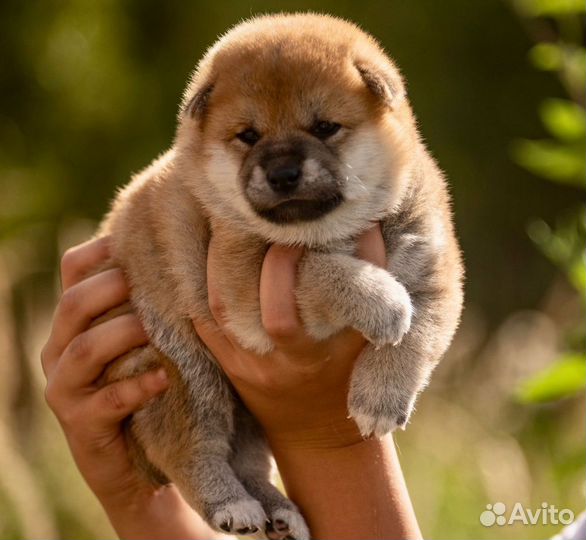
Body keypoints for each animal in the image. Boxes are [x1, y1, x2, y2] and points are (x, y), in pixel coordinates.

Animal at [97, 12, 460, 540]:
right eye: (249, 135)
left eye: (325, 128)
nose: (284, 173)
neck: (328, 230)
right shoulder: (242, 287)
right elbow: (318, 269)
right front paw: (381, 300)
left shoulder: (434, 268)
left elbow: (419, 335)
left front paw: (380, 394)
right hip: (186, 374)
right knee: (187, 451)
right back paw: (235, 506)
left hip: (241, 411)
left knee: (246, 461)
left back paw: (280, 514)